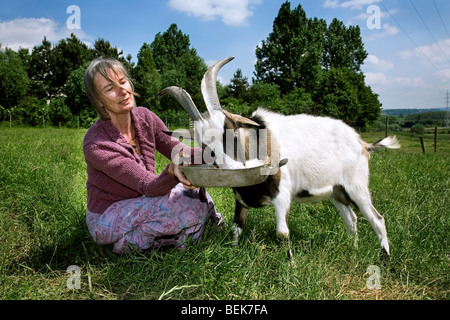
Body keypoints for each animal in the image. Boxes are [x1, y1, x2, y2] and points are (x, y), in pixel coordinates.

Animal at [160, 57, 400, 255]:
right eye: (205, 145)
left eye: (233, 131)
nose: (231, 167)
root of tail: (362, 143)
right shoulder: (241, 198)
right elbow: (236, 230)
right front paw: (232, 255)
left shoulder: (282, 194)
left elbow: (282, 235)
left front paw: (290, 269)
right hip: (336, 190)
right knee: (352, 219)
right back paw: (354, 248)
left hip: (356, 186)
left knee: (377, 219)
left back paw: (384, 256)